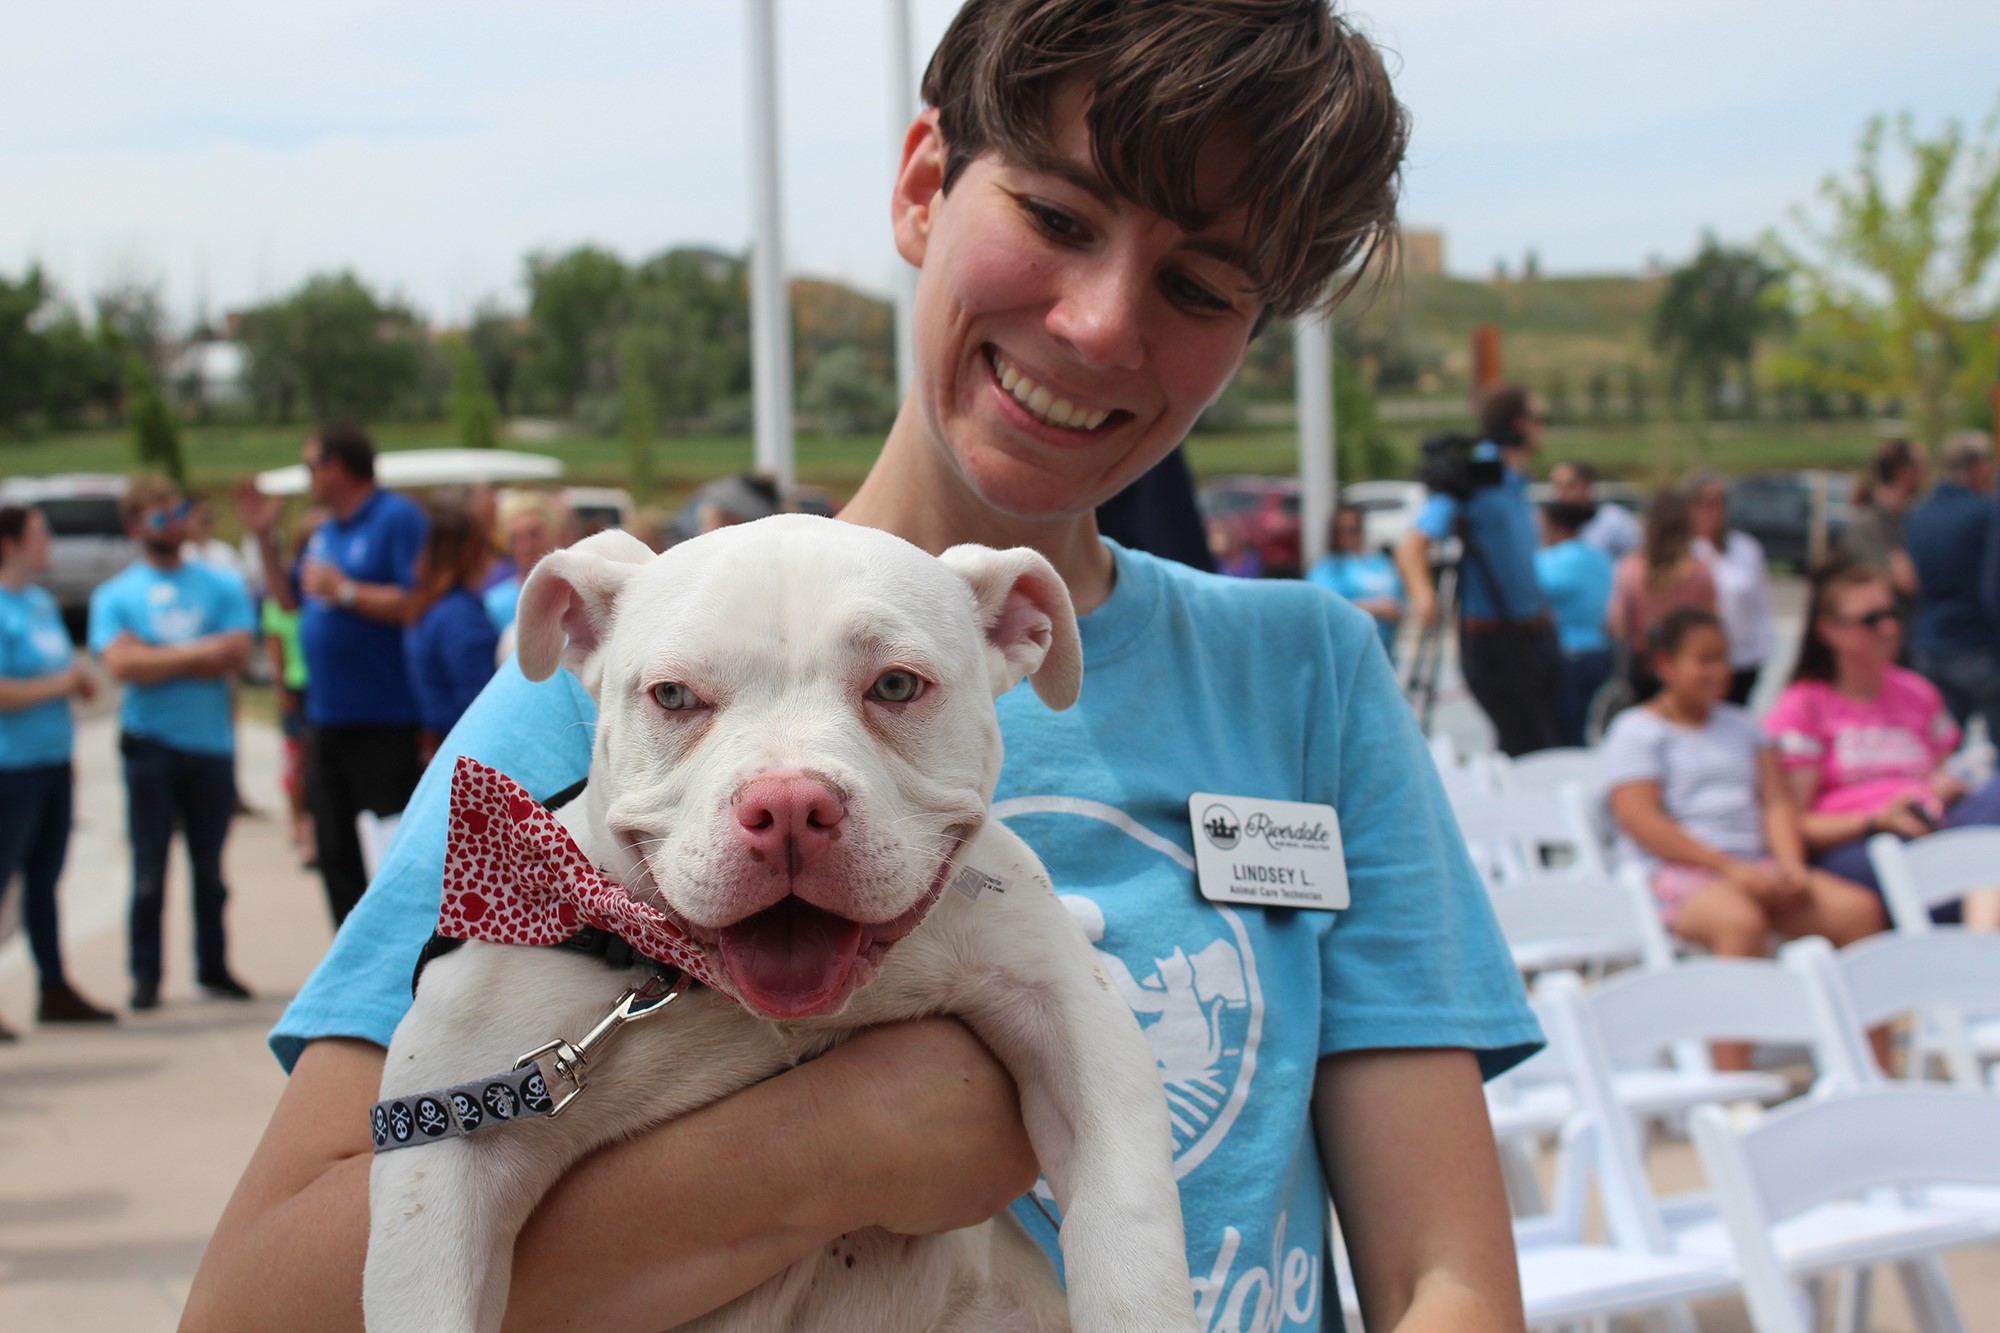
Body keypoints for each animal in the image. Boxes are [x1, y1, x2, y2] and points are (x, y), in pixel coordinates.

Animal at [364, 516, 1184, 1328]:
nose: (790, 806)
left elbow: (1130, 1227)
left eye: (896, 685)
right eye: (673, 695)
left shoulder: (1069, 1015)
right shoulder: (448, 1159)